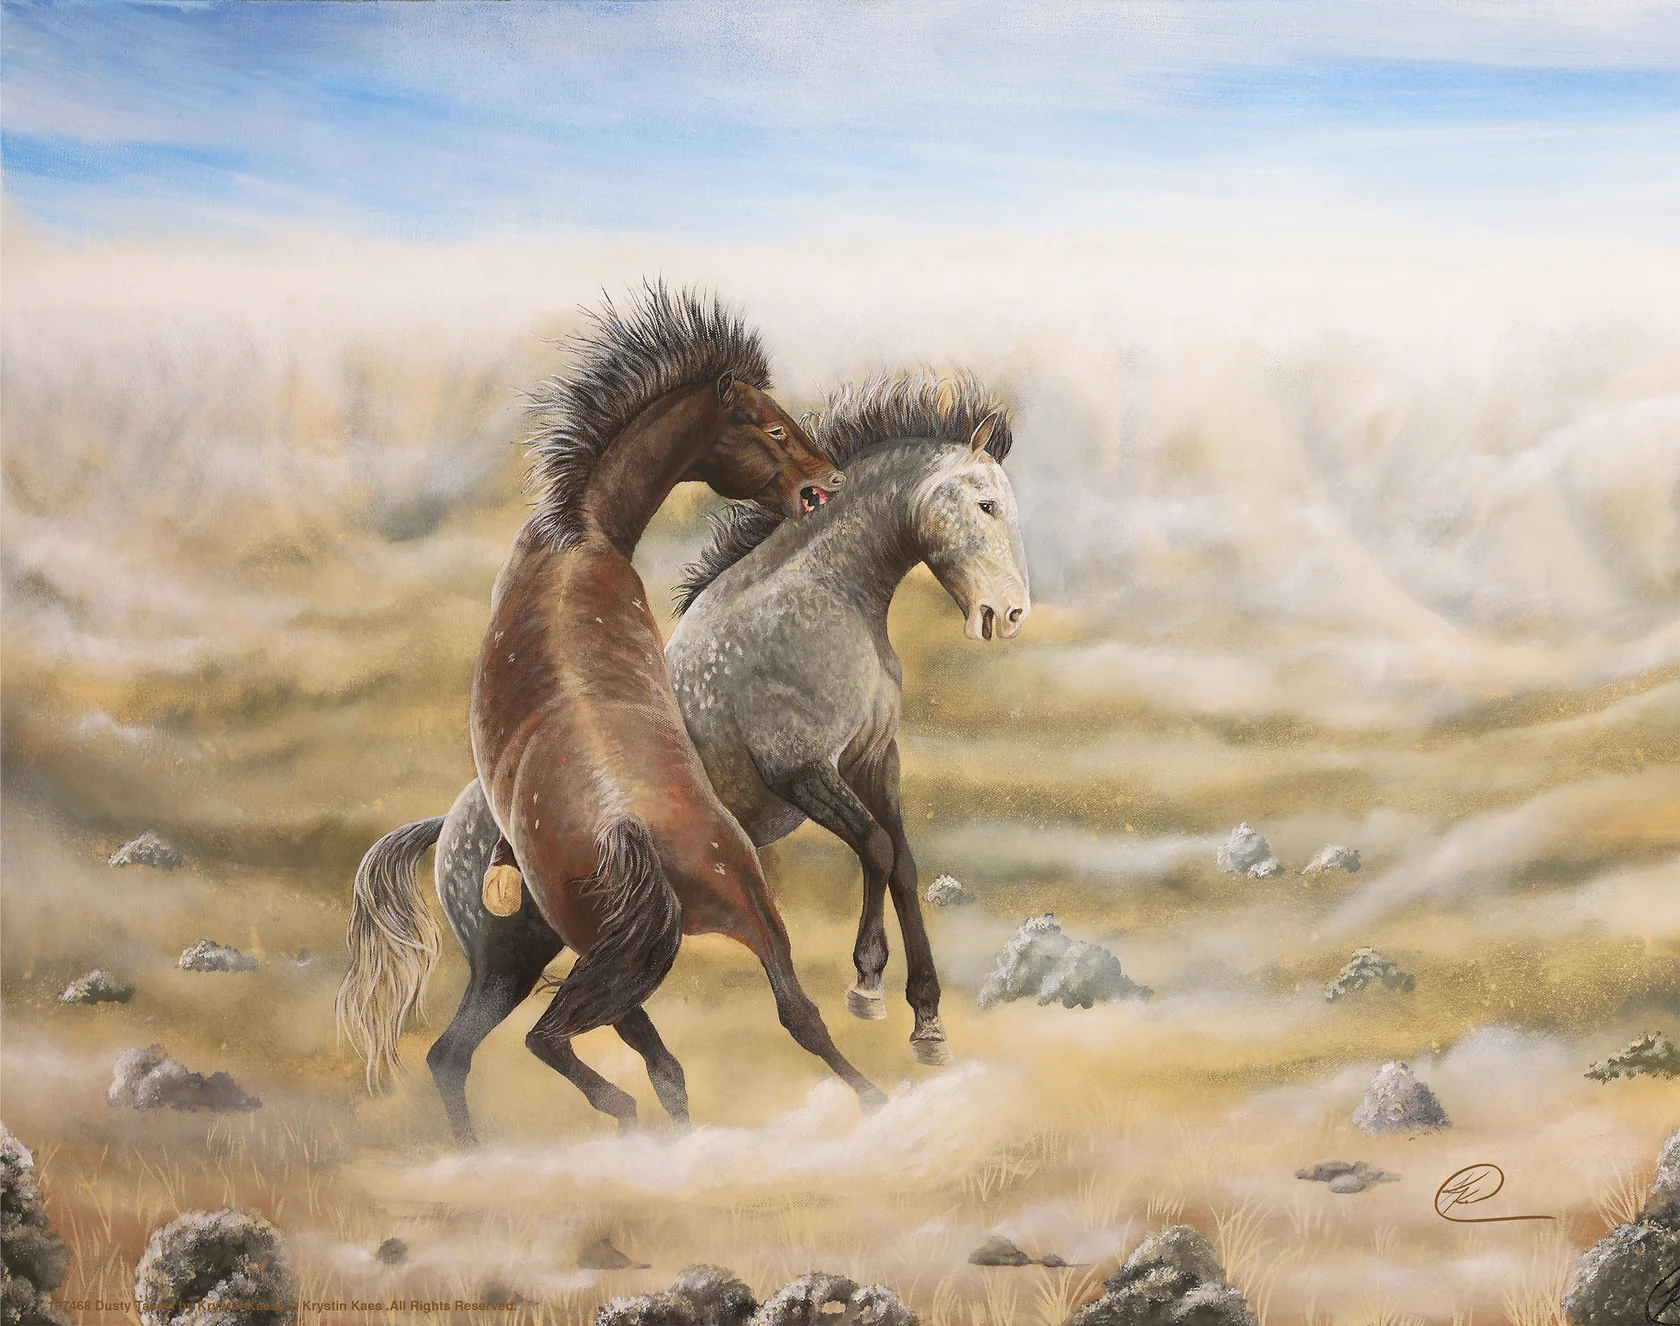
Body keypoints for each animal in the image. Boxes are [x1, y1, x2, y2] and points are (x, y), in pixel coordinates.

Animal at [336, 283, 872, 1144]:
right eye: (770, 425)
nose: (826, 483)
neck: (577, 540)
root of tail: (631, 831)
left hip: (605, 952)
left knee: (598, 1047)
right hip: (635, 949)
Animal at [346, 371, 1029, 1140]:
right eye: (986, 503)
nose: (1007, 615)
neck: (821, 600)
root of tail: (445, 829)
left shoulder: (875, 760)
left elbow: (904, 862)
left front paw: (927, 1024)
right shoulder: (803, 771)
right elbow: (879, 849)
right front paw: (867, 985)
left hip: (530, 958)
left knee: (457, 1053)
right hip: (528, 957)